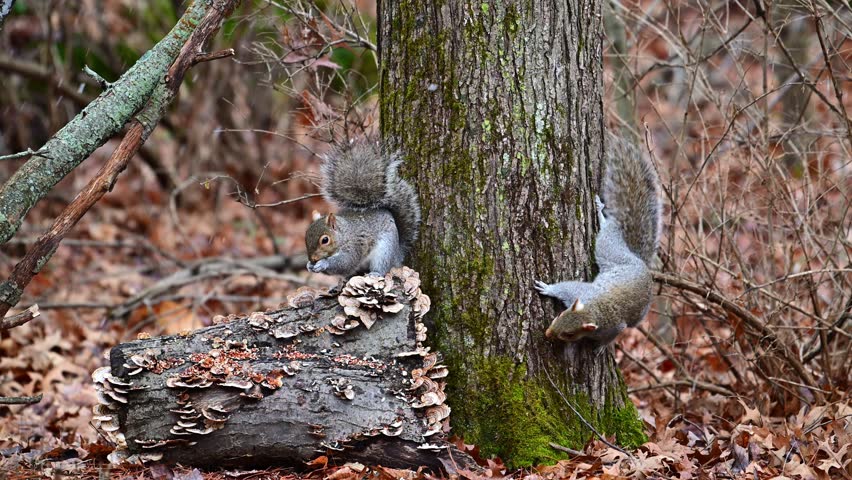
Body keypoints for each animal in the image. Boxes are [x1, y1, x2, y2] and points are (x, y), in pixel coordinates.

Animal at [305, 140, 421, 277]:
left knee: (382, 267)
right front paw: (309, 265)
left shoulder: (354, 246)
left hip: (384, 251)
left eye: (325, 240)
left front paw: (323, 263)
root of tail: (396, 255)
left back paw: (375, 274)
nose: (312, 259)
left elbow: (345, 263)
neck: (344, 234)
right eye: (306, 237)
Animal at [535, 132, 661, 345]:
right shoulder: (579, 293)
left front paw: (599, 347)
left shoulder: (613, 327)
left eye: (569, 334)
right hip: (610, 249)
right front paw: (548, 288)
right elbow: (565, 287)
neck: (595, 310)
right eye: (560, 315)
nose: (548, 334)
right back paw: (600, 211)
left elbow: (611, 336)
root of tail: (639, 260)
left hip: (610, 251)